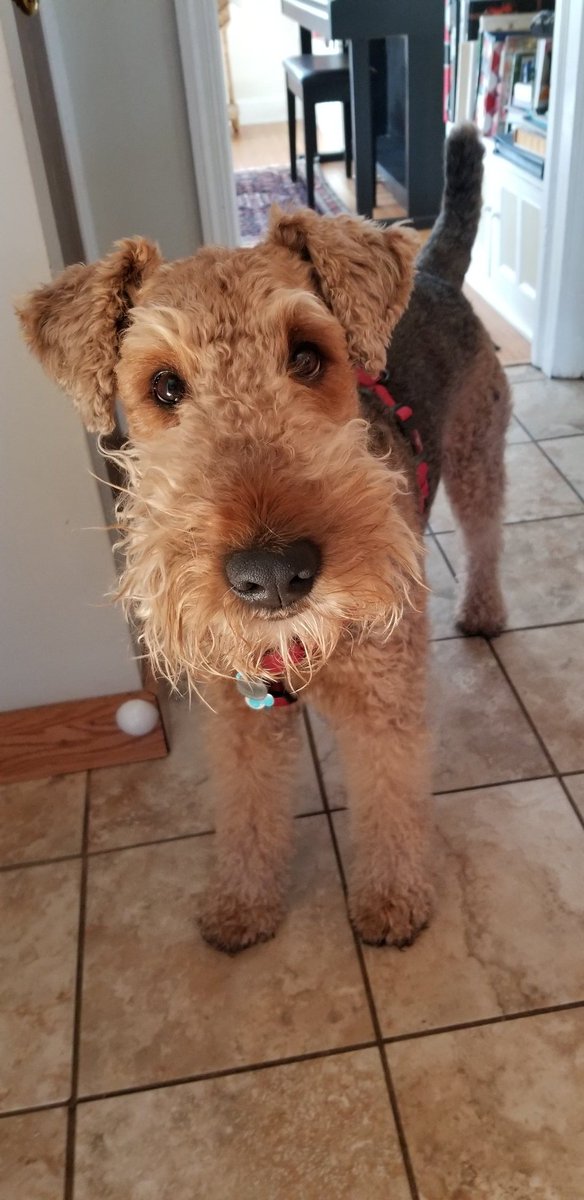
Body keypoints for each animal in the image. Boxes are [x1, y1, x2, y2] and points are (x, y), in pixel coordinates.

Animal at [17, 126, 513, 955]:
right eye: (163, 386)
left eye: (308, 355)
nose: (274, 574)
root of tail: (434, 271)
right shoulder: (238, 718)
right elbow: (248, 812)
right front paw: (241, 908)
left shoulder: (382, 706)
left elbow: (390, 801)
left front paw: (392, 903)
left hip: (478, 456)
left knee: (486, 539)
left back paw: (483, 611)